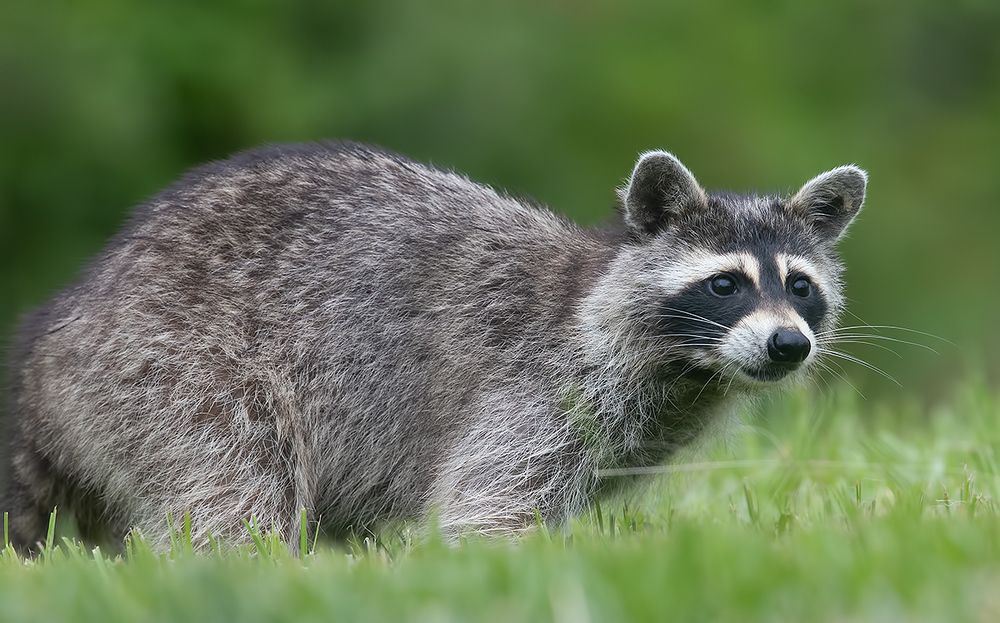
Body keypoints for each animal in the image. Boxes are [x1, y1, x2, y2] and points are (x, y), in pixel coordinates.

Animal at [2, 142, 866, 551]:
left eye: (799, 286)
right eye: (725, 284)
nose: (788, 344)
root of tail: (59, 323)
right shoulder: (539, 387)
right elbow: (487, 510)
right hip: (169, 365)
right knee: (236, 482)